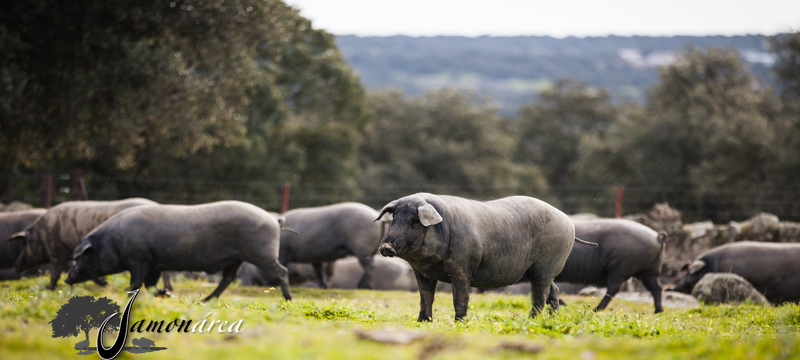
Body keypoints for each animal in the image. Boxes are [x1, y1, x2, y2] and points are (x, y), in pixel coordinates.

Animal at [10, 198, 158, 288]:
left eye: (24, 244)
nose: (15, 267)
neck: (40, 235)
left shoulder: (57, 250)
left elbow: (56, 271)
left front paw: (48, 288)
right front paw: (105, 284)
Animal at [65, 200, 290, 300]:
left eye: (82, 257)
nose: (67, 279)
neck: (111, 241)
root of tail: (274, 219)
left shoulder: (139, 259)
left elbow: (136, 282)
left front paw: (129, 295)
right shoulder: (154, 263)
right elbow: (150, 284)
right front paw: (166, 294)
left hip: (262, 254)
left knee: (282, 272)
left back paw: (288, 299)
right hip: (236, 259)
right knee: (228, 278)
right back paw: (206, 300)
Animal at [376, 193, 592, 322]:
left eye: (414, 220)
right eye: (395, 218)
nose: (385, 247)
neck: (430, 263)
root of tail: (568, 221)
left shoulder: (462, 267)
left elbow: (460, 297)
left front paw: (459, 322)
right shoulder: (421, 272)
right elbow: (425, 296)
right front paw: (423, 322)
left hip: (546, 264)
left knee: (541, 293)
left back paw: (532, 320)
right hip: (538, 270)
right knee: (553, 290)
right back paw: (552, 318)